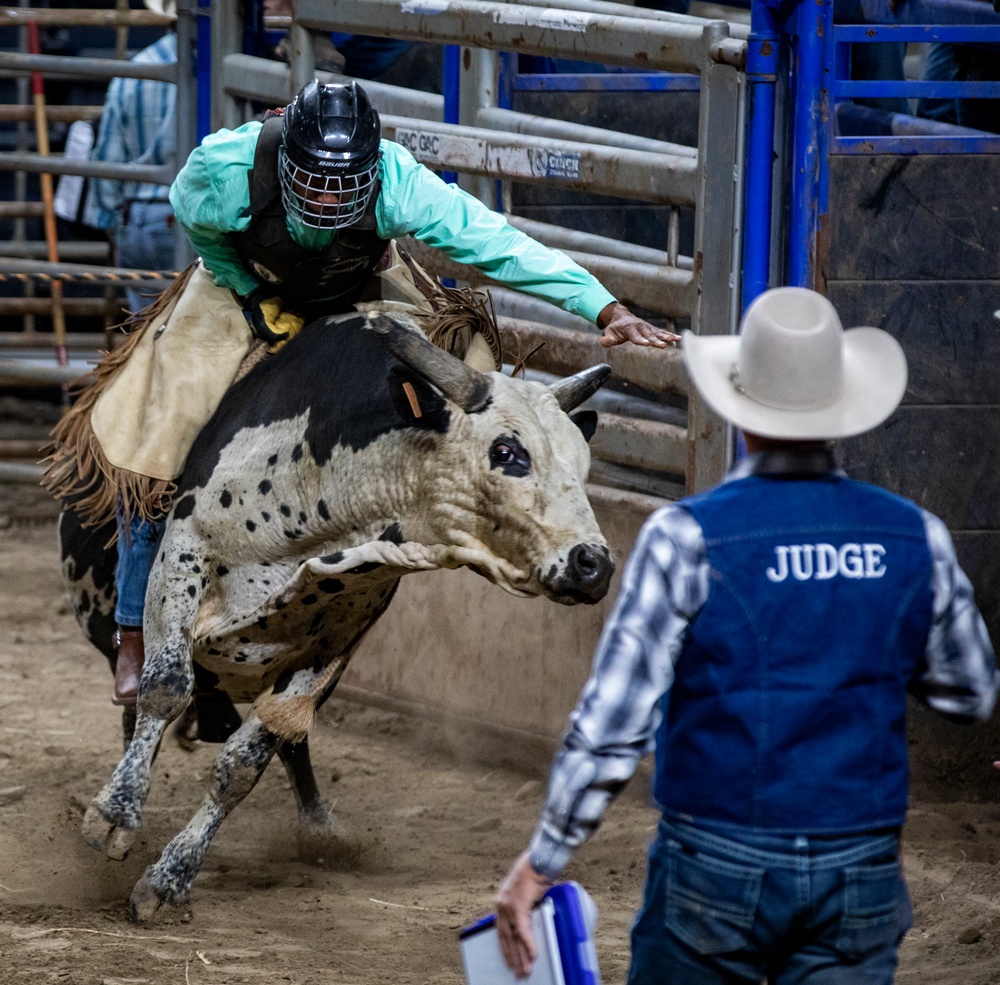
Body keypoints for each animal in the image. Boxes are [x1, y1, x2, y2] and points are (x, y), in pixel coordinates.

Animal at [74, 312, 608, 920]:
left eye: (583, 463)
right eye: (506, 451)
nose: (593, 564)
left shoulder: (335, 636)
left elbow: (246, 762)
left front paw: (168, 880)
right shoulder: (185, 553)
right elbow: (165, 689)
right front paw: (114, 816)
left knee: (290, 742)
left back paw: (320, 830)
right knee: (139, 699)